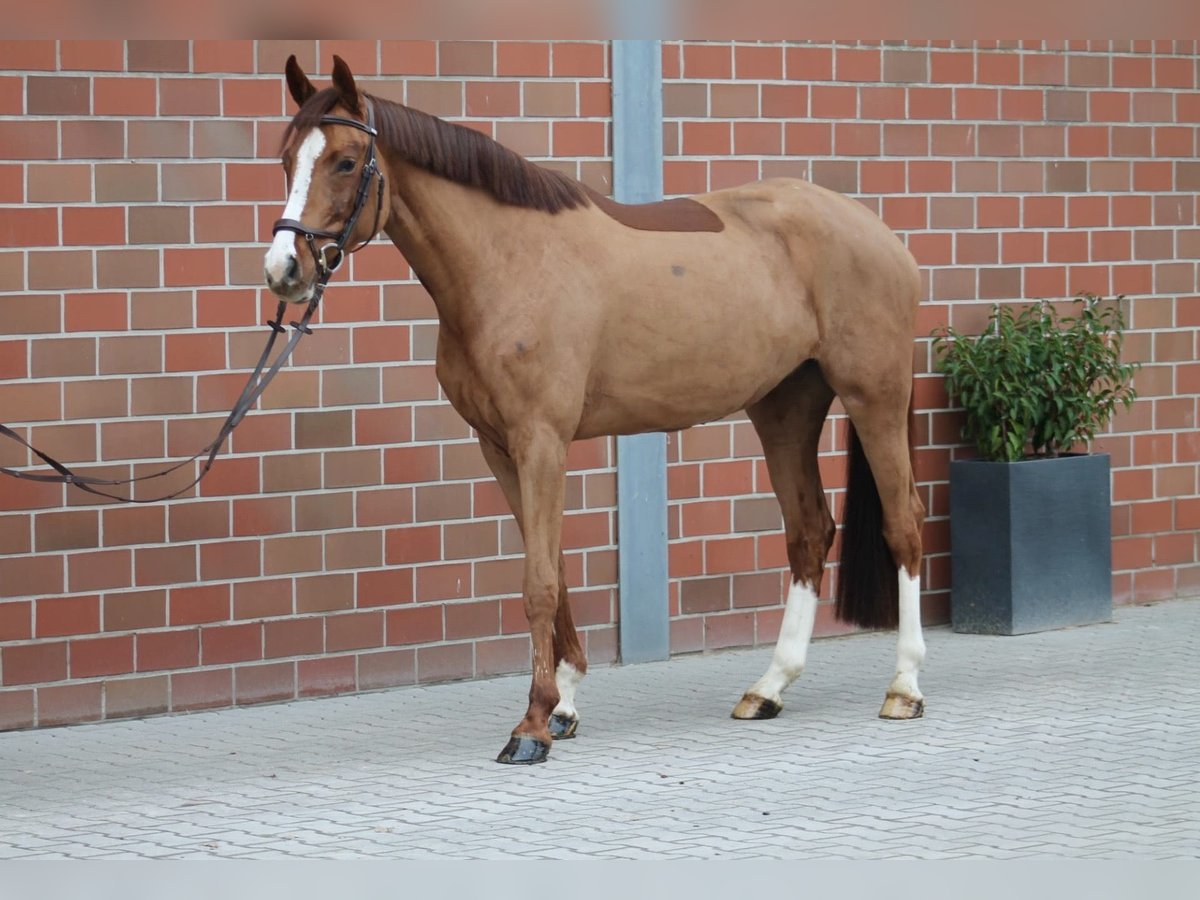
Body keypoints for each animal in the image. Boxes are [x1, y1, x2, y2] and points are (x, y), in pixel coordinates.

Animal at [267, 52, 926, 763]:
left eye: (345, 161)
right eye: (286, 159)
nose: (283, 270)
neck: (508, 262)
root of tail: (881, 233)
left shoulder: (541, 441)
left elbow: (537, 582)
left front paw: (530, 725)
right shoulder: (500, 447)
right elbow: (551, 566)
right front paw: (563, 706)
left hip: (875, 396)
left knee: (904, 526)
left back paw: (904, 687)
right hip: (784, 408)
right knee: (808, 532)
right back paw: (769, 688)